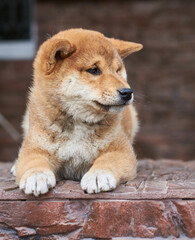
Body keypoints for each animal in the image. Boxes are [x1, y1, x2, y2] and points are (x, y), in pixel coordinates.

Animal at [12, 28, 143, 197]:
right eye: (93, 70)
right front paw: (36, 176)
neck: (78, 122)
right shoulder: (35, 148)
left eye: (117, 70)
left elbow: (107, 161)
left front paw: (98, 175)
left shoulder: (121, 150)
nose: (127, 92)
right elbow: (34, 162)